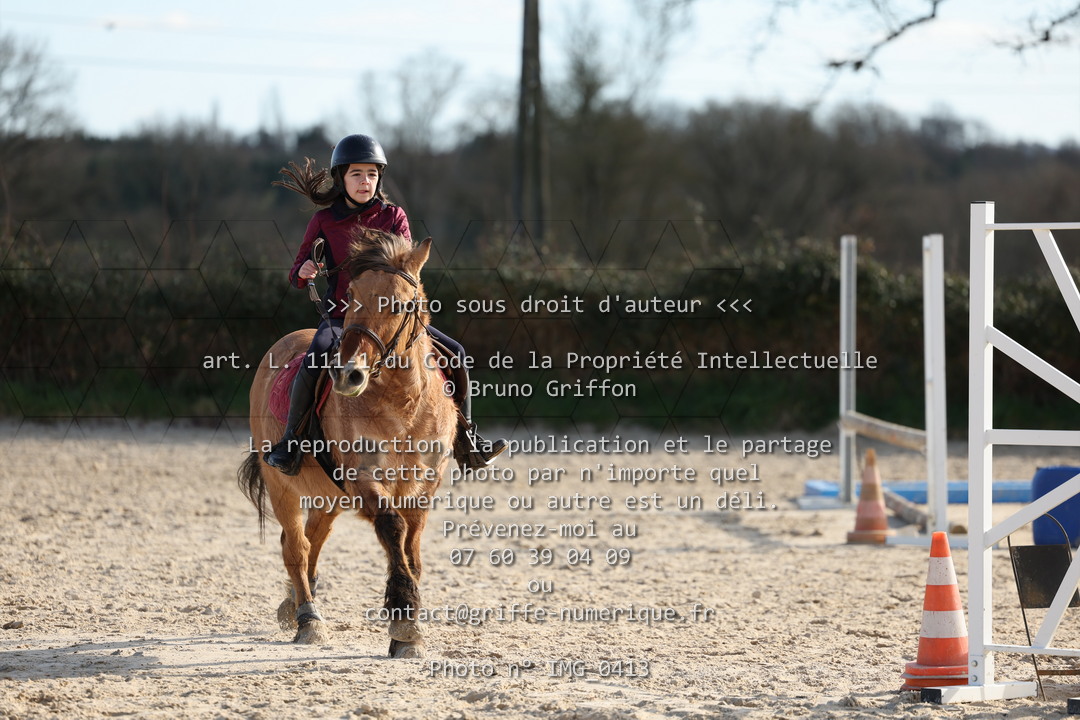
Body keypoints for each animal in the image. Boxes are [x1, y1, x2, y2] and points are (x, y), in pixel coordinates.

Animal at [238, 228, 457, 658]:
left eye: (400, 304)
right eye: (351, 293)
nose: (348, 374)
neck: (403, 402)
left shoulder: (423, 486)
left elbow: (412, 550)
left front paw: (408, 629)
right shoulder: (365, 479)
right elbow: (392, 528)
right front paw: (404, 623)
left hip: (329, 497)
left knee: (313, 540)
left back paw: (293, 603)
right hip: (282, 488)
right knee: (296, 547)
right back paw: (308, 618)